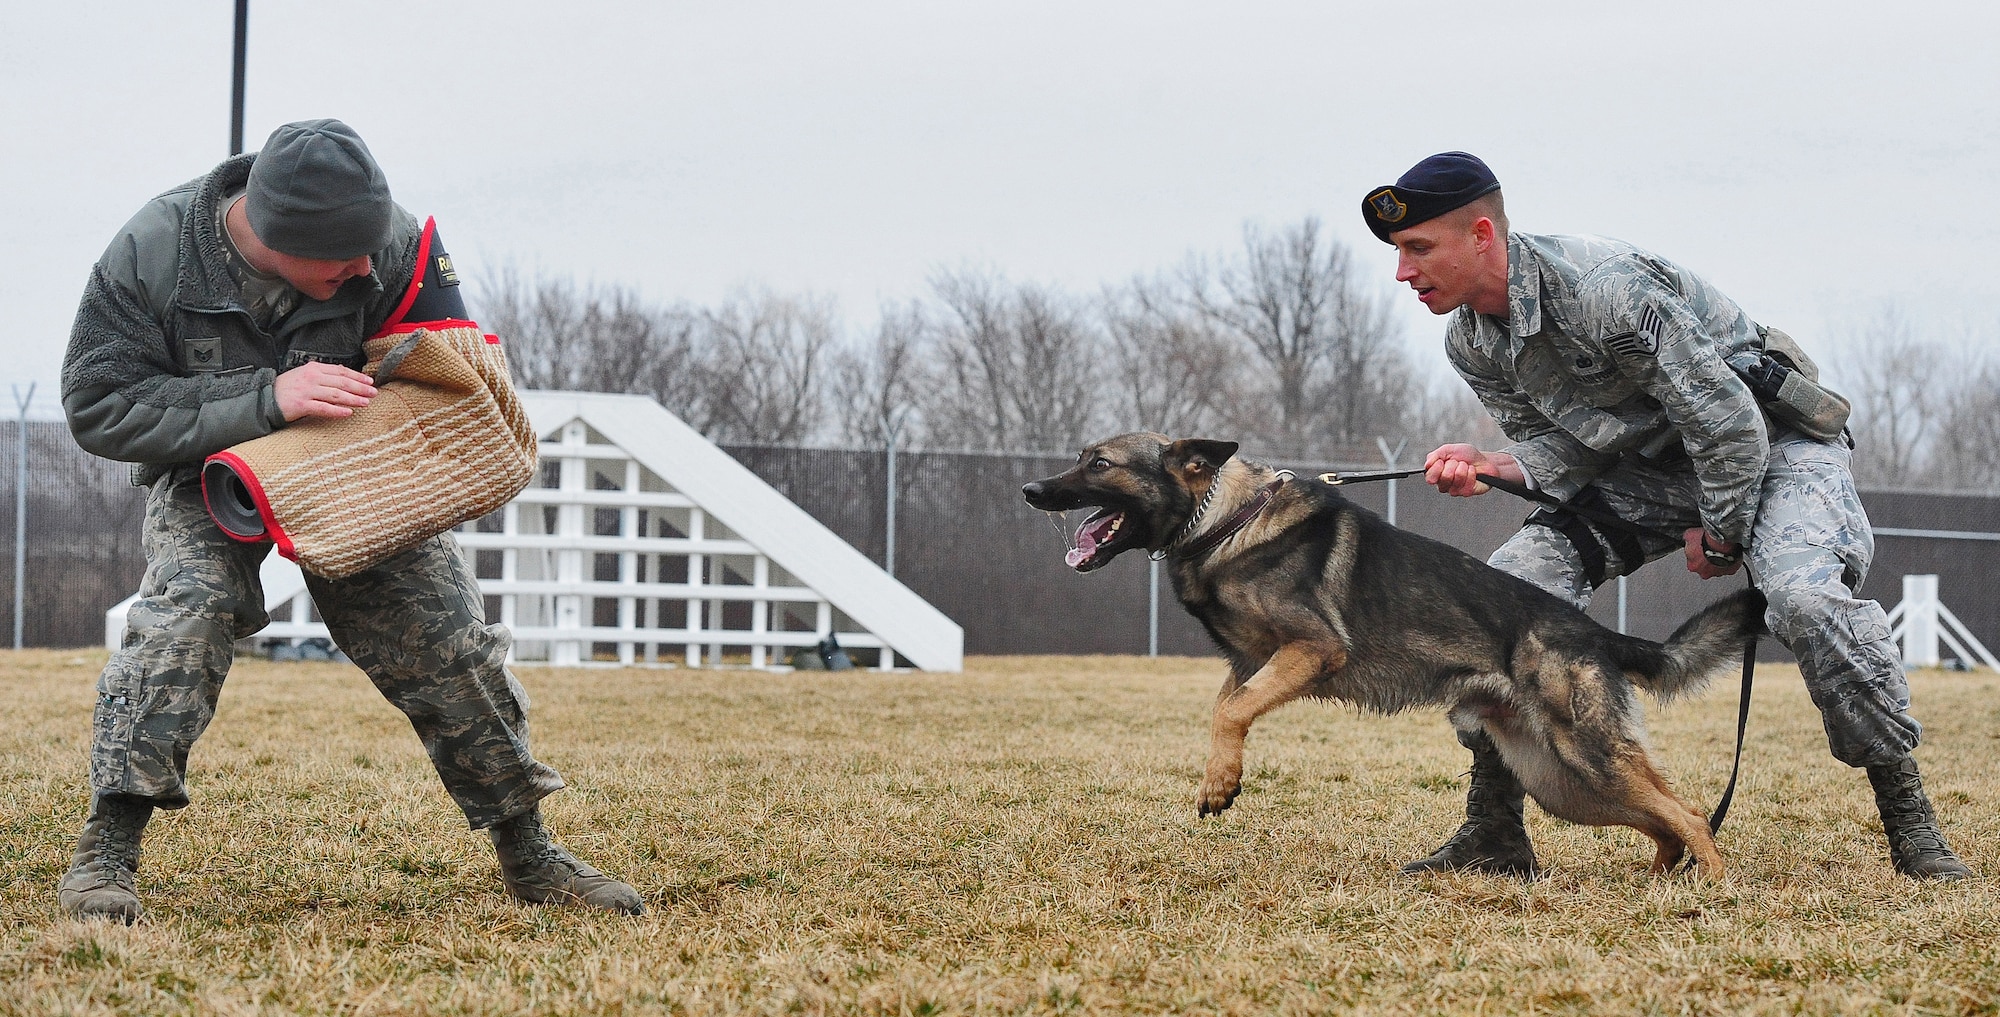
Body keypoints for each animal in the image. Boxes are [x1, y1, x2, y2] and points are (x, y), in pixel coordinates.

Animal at [1024, 430, 1760, 872]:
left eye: (1099, 464)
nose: (1031, 491)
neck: (1225, 520)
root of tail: (1594, 631)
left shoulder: (1312, 649)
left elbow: (1230, 712)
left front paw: (1222, 781)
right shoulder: (1249, 666)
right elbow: (1225, 710)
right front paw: (1218, 779)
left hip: (1588, 759)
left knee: (1690, 814)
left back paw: (1710, 891)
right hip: (1563, 782)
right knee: (1665, 820)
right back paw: (1660, 878)